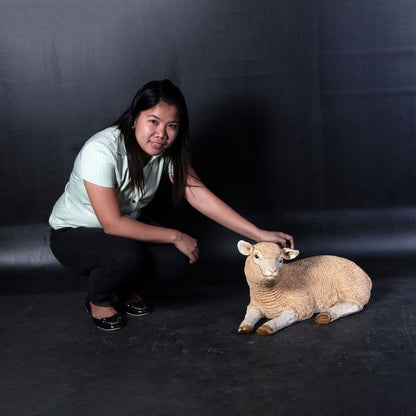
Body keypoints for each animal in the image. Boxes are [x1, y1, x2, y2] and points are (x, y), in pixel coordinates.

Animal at [239, 240, 372, 334]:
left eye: (281, 260)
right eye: (256, 256)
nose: (273, 270)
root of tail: (366, 275)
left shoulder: (302, 305)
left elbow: (288, 315)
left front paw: (268, 326)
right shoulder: (254, 305)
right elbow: (250, 314)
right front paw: (244, 326)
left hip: (353, 287)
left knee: (355, 304)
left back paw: (326, 315)